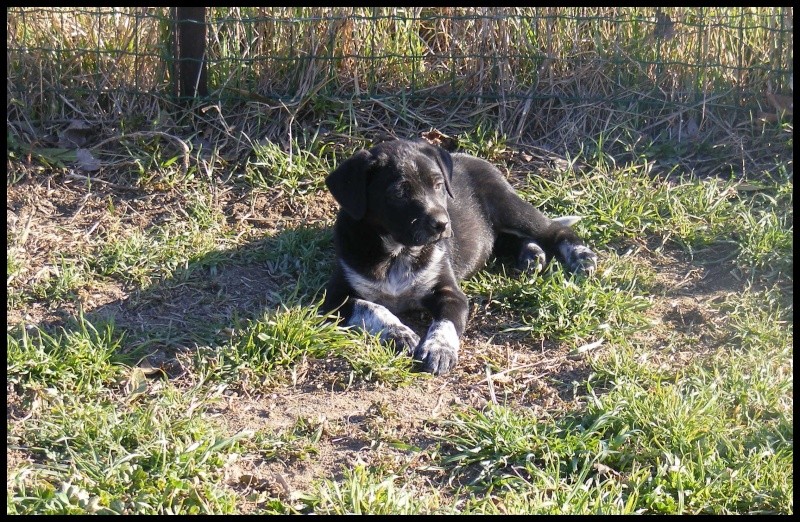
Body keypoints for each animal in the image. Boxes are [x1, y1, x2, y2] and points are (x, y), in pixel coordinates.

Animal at [322, 138, 596, 374]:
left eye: (438, 185)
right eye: (399, 193)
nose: (443, 224)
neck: (398, 252)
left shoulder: (450, 293)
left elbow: (445, 324)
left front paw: (438, 349)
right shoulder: (333, 299)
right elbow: (372, 307)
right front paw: (398, 332)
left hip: (508, 206)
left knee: (555, 230)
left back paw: (581, 256)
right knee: (505, 240)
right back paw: (531, 254)